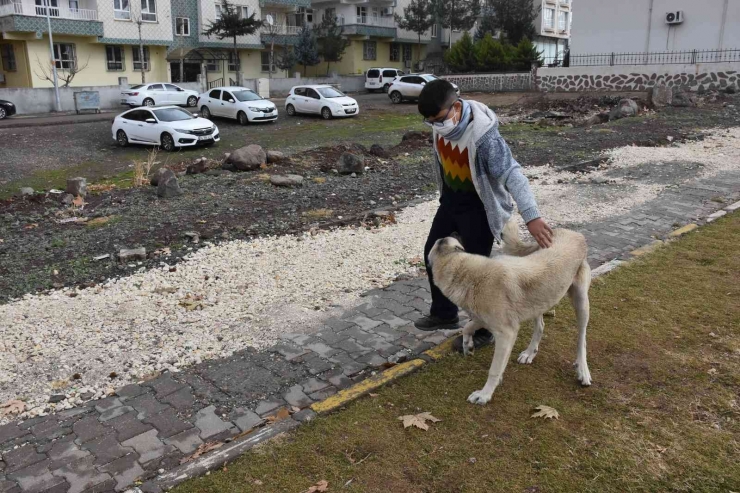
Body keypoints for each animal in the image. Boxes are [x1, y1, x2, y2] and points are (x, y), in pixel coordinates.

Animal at [428, 220, 588, 404]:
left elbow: (494, 369)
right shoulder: (485, 319)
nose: (454, 231)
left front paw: (485, 394)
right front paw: (467, 345)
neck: (465, 272)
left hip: (581, 304)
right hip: (537, 302)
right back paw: (530, 353)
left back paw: (583, 370)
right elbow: (467, 327)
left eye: (448, 240)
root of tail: (573, 233)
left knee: (581, 340)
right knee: (540, 326)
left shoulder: (506, 334)